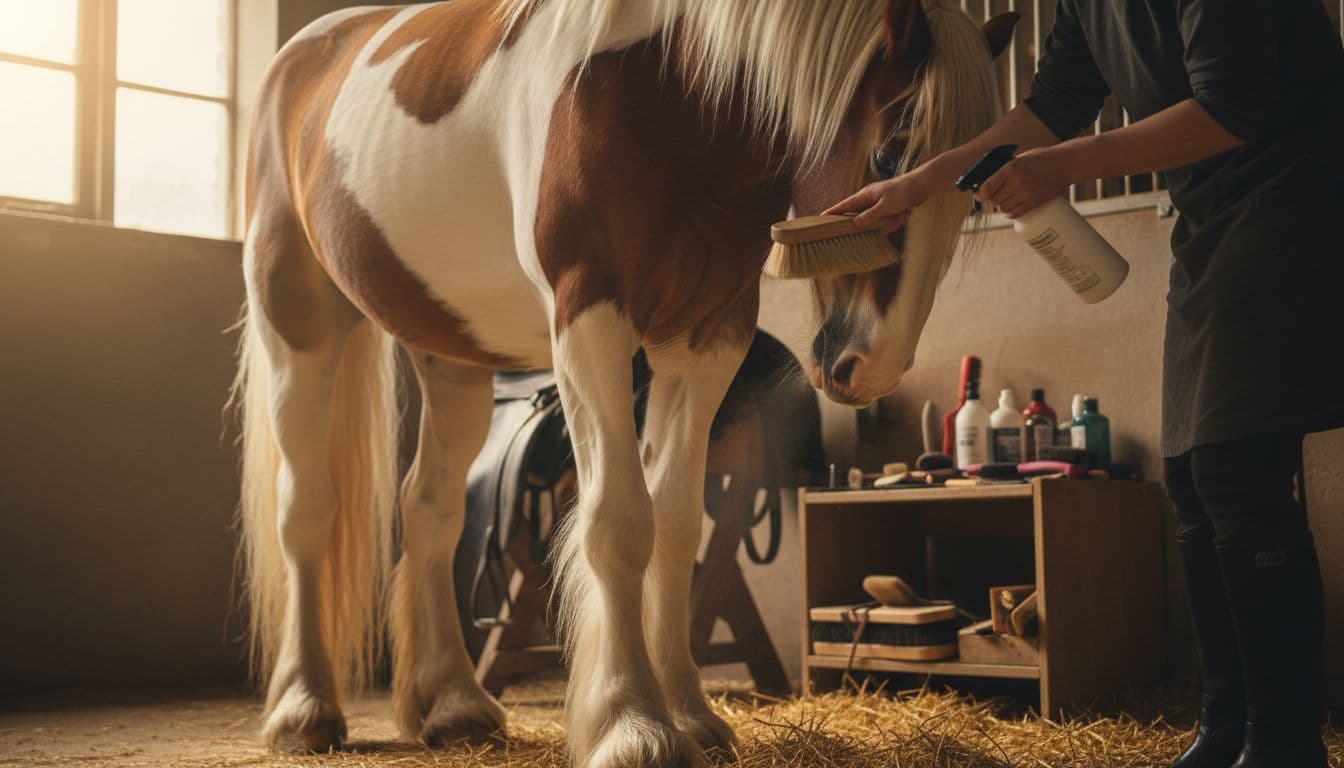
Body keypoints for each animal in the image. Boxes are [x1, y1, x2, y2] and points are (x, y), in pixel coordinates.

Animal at [233, 0, 1014, 764]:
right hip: (298, 328)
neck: (671, 89)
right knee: (305, 512)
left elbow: (674, 527)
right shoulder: (590, 322)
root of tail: (298, 56)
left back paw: (454, 705)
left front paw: (692, 716)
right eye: (889, 153)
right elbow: (618, 523)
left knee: (429, 511)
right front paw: (631, 724)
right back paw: (304, 709)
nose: (871, 365)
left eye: (972, 199)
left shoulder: (707, 337)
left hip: (451, 359)